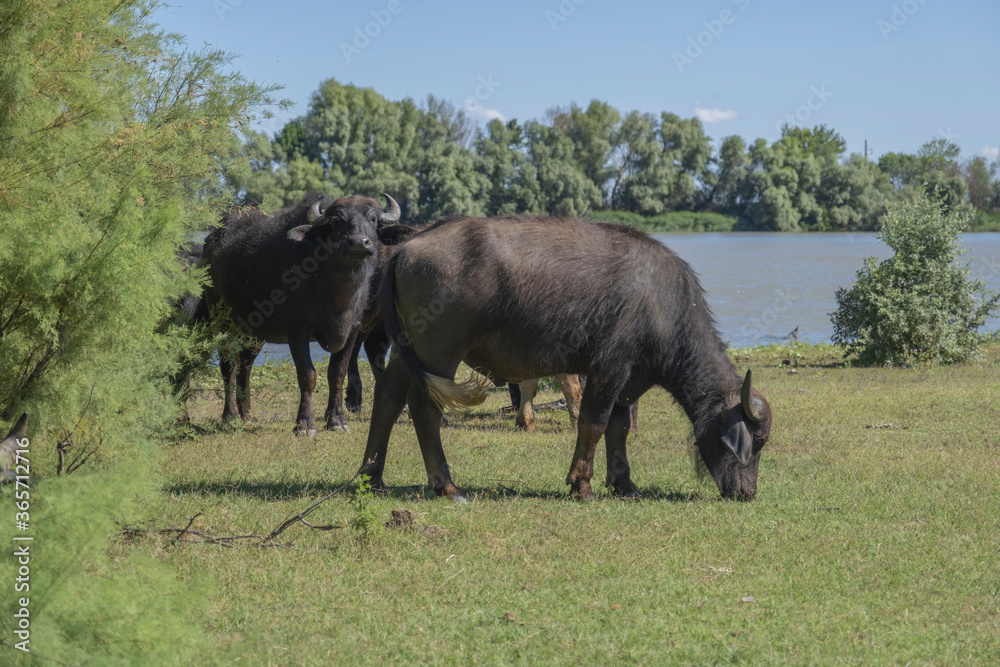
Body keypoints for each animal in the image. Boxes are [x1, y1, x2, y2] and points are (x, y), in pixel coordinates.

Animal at [203, 190, 398, 436]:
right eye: (337, 220)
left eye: (373, 219)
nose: (358, 242)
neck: (335, 292)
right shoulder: (297, 330)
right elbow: (308, 374)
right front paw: (305, 424)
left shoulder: (353, 329)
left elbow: (337, 373)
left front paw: (337, 420)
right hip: (223, 322)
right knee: (228, 364)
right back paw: (231, 416)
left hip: (255, 333)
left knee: (245, 365)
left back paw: (247, 413)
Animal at [360, 217, 772, 504]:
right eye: (755, 441)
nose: (747, 492)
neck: (664, 304)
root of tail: (406, 248)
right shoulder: (610, 367)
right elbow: (594, 422)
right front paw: (582, 484)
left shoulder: (627, 379)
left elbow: (620, 427)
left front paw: (624, 484)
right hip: (439, 352)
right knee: (424, 408)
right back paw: (447, 486)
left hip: (407, 349)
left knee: (387, 396)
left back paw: (371, 477)